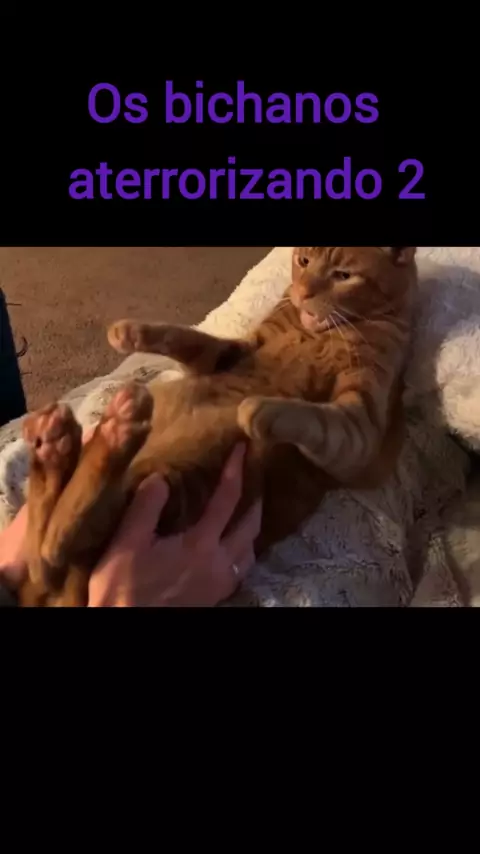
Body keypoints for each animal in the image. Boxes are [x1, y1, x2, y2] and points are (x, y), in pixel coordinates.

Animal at [18, 246, 417, 607]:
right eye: (303, 261)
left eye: (342, 276)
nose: (303, 292)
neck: (315, 333)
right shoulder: (233, 353)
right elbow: (190, 339)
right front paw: (132, 332)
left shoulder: (361, 433)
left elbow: (313, 418)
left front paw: (257, 408)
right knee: (47, 551)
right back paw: (60, 442)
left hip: (176, 482)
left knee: (57, 550)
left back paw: (97, 434)